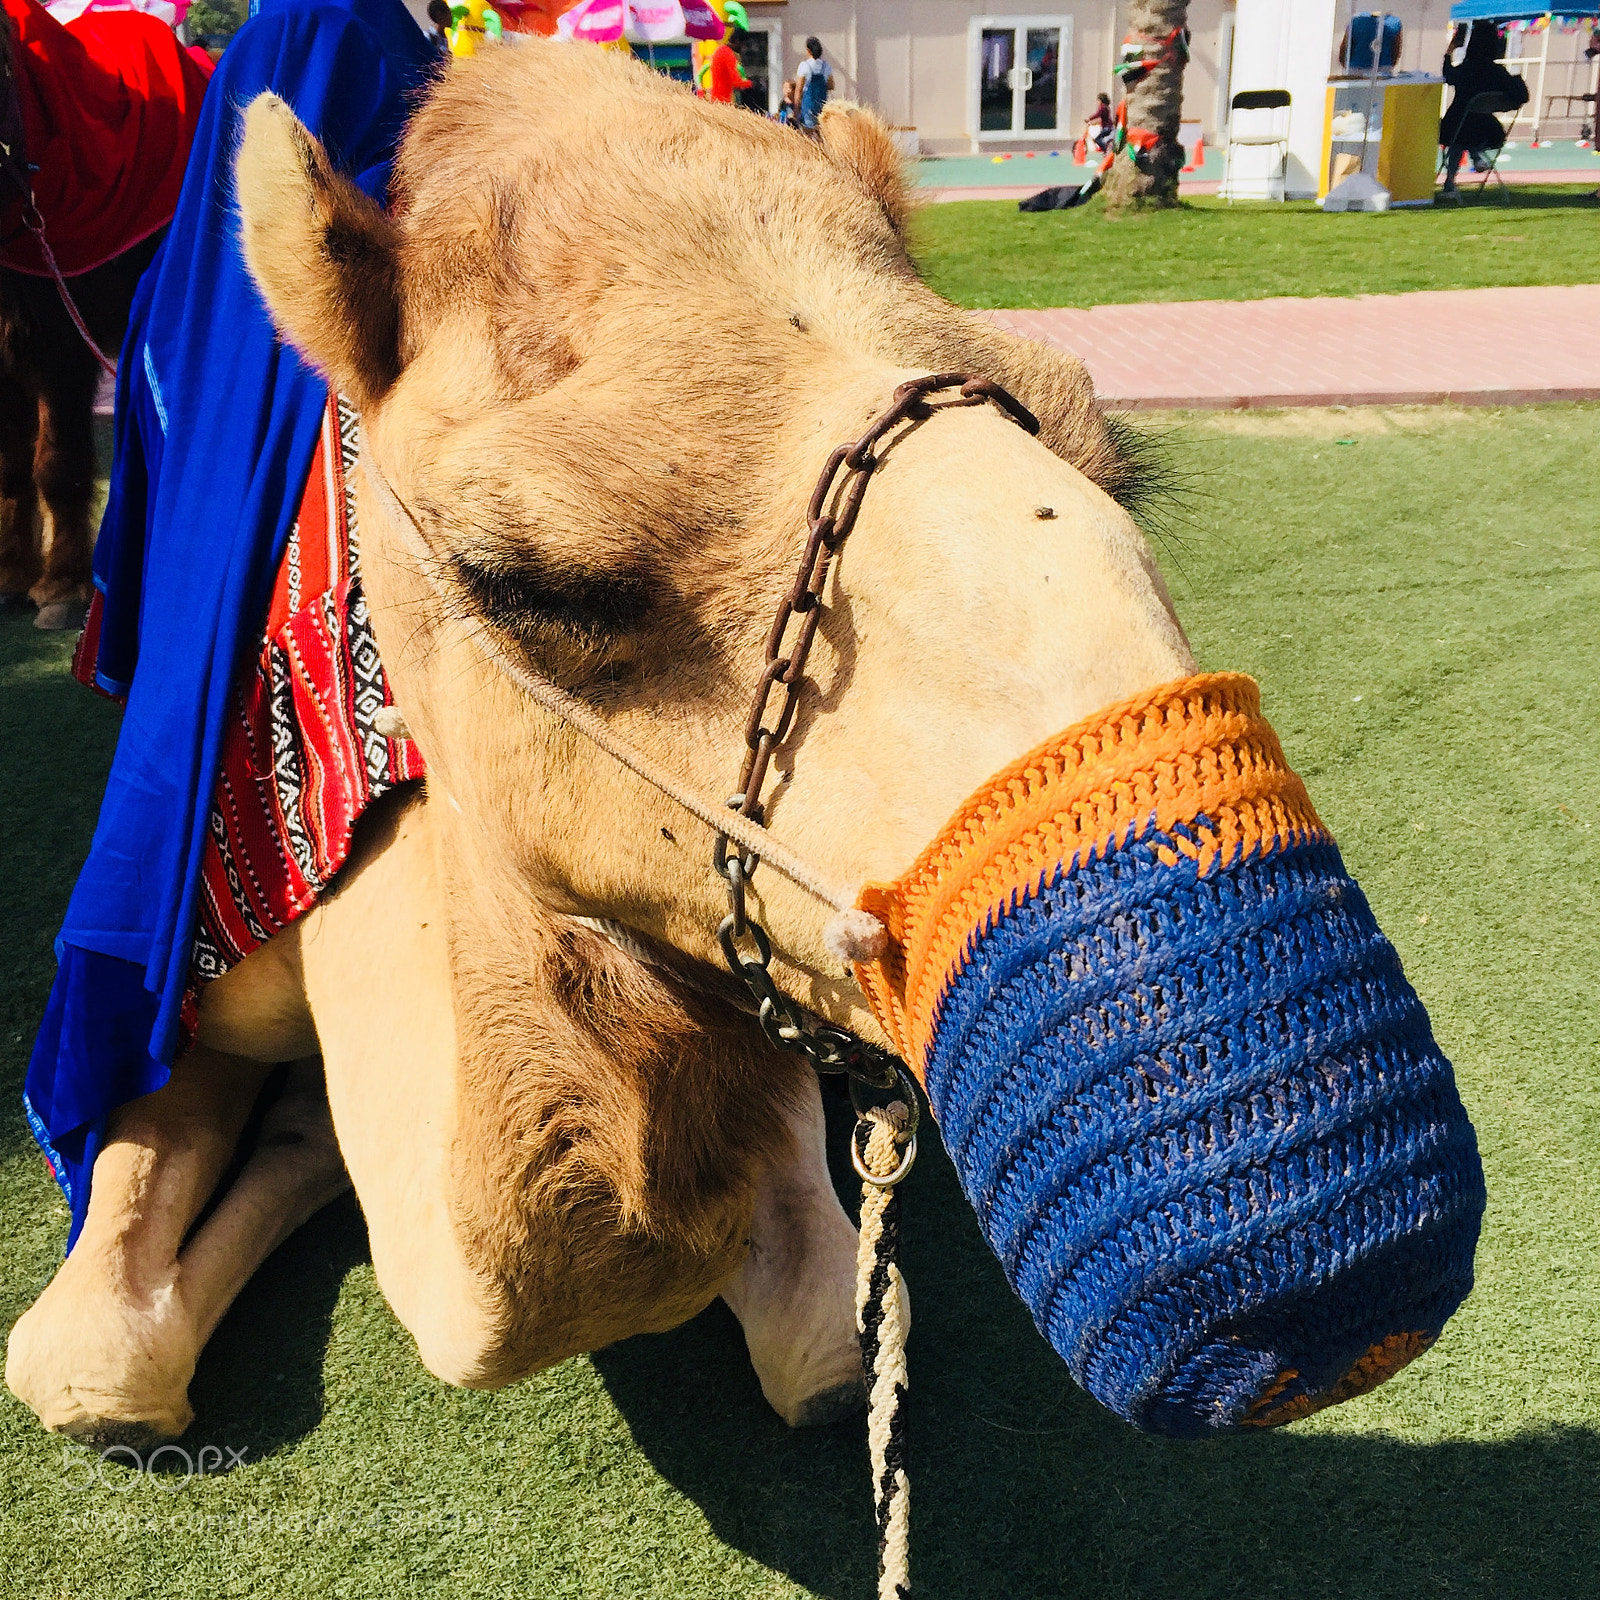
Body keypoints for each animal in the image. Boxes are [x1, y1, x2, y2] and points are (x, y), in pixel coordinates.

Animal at [7, 38, 1481, 1452]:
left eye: (1108, 461)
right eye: (521, 580)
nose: (1329, 1247)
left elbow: (829, 1350)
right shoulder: (176, 975)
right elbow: (92, 1368)